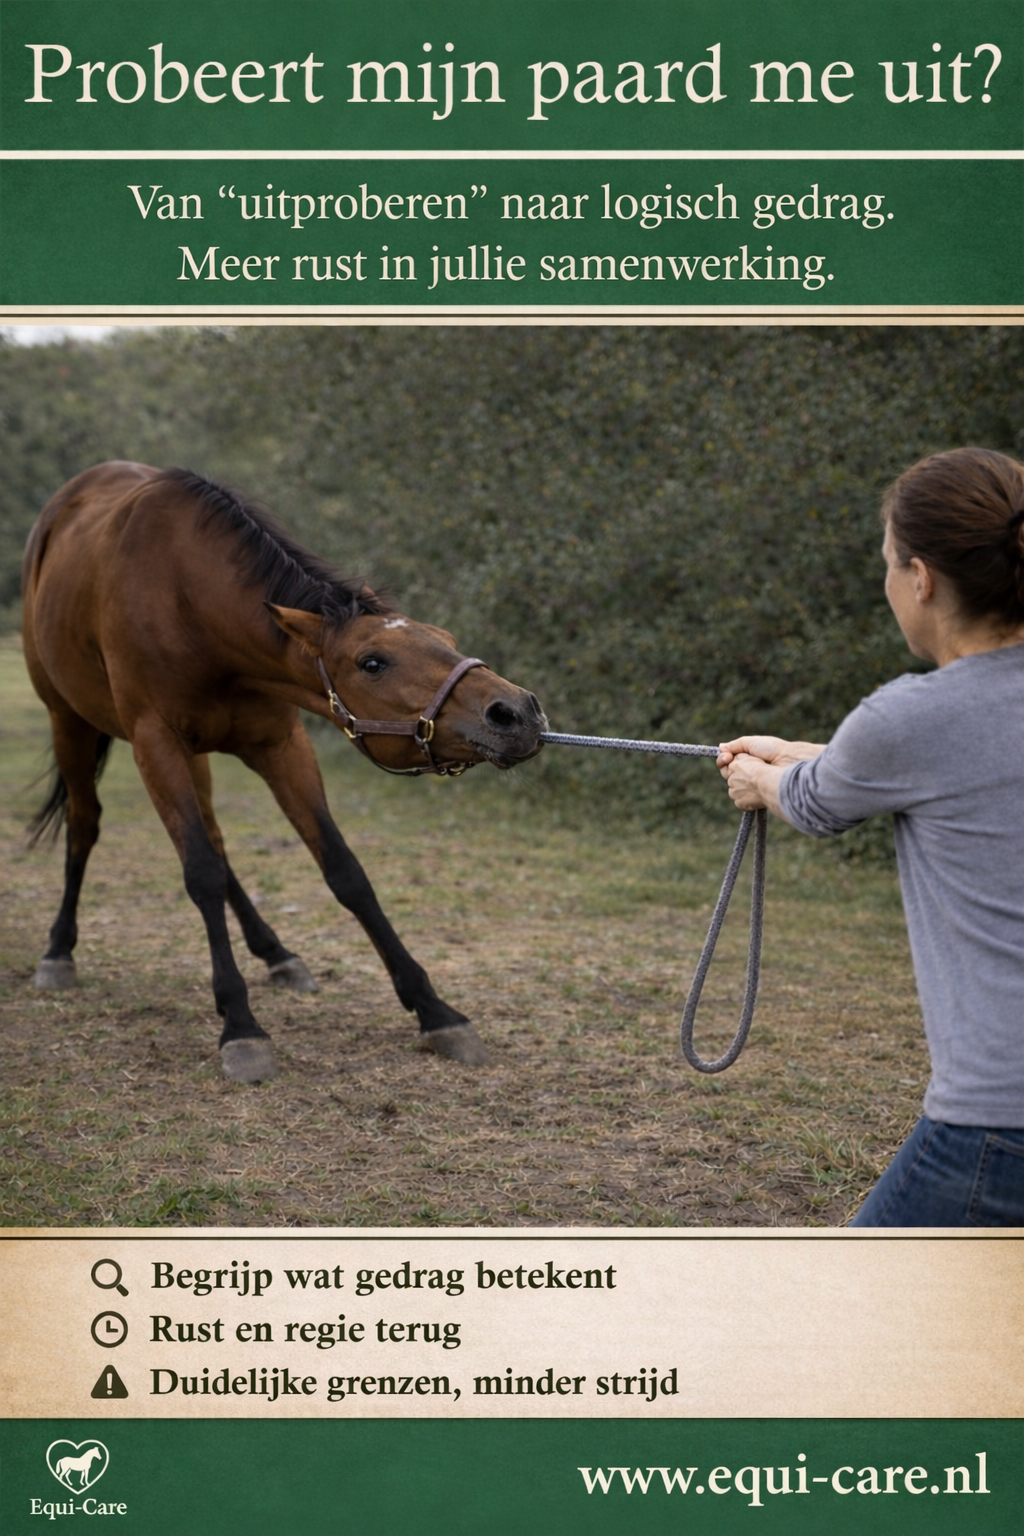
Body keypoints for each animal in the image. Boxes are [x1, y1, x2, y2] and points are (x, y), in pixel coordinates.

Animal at [22, 461, 546, 1082]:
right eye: (373, 662)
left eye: (445, 640)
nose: (516, 711)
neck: (189, 603)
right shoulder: (156, 744)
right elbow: (199, 873)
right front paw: (241, 1026)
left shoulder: (282, 745)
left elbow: (343, 870)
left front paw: (435, 1010)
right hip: (70, 722)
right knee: (87, 824)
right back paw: (58, 950)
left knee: (216, 839)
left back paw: (275, 952)